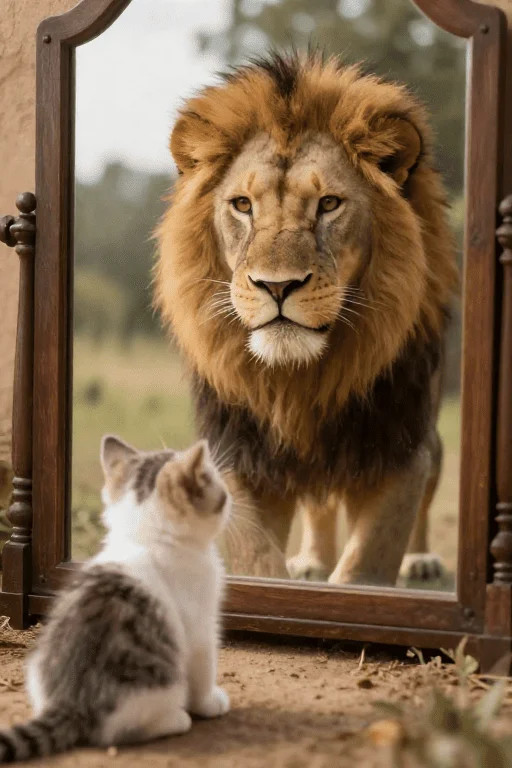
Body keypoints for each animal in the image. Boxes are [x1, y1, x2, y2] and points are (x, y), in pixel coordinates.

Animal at [155, 52, 458, 586]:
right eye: (242, 205)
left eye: (329, 204)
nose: (277, 286)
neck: (299, 381)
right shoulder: (240, 453)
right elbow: (258, 557)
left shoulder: (399, 450)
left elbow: (365, 564)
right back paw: (312, 561)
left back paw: (420, 561)